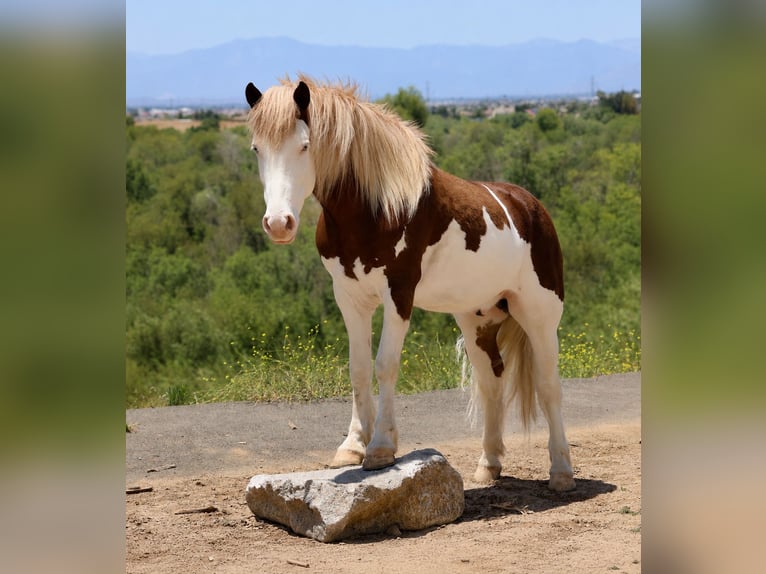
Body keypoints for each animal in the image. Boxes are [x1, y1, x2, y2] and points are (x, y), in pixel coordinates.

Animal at [244, 75, 575, 491]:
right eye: (257, 148)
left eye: (304, 145)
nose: (278, 224)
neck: (373, 209)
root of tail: (531, 207)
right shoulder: (349, 298)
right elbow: (358, 368)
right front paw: (352, 446)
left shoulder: (398, 295)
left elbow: (385, 364)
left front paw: (381, 447)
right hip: (476, 319)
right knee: (491, 383)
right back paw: (489, 465)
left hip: (538, 315)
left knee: (549, 386)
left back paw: (561, 472)